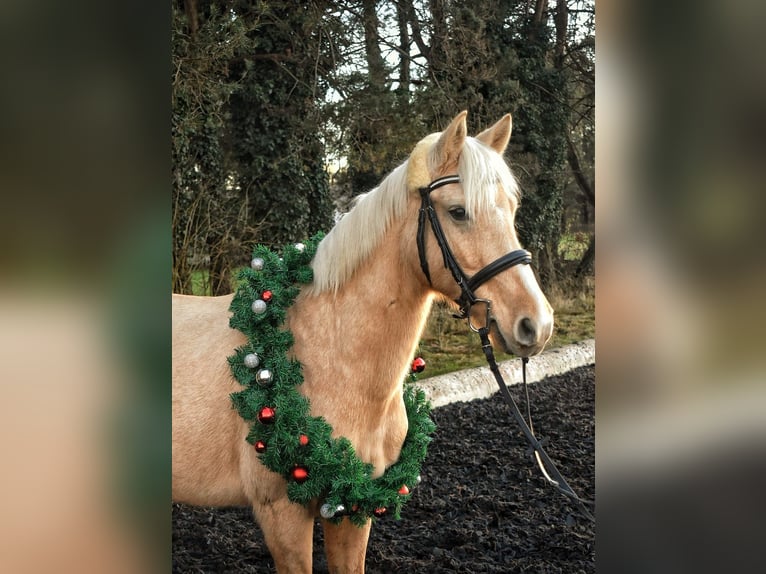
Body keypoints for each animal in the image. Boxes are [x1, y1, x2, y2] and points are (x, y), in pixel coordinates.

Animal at [175, 110, 556, 572]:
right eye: (458, 211)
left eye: (512, 210)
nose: (536, 324)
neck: (326, 358)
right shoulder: (282, 514)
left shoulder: (352, 505)